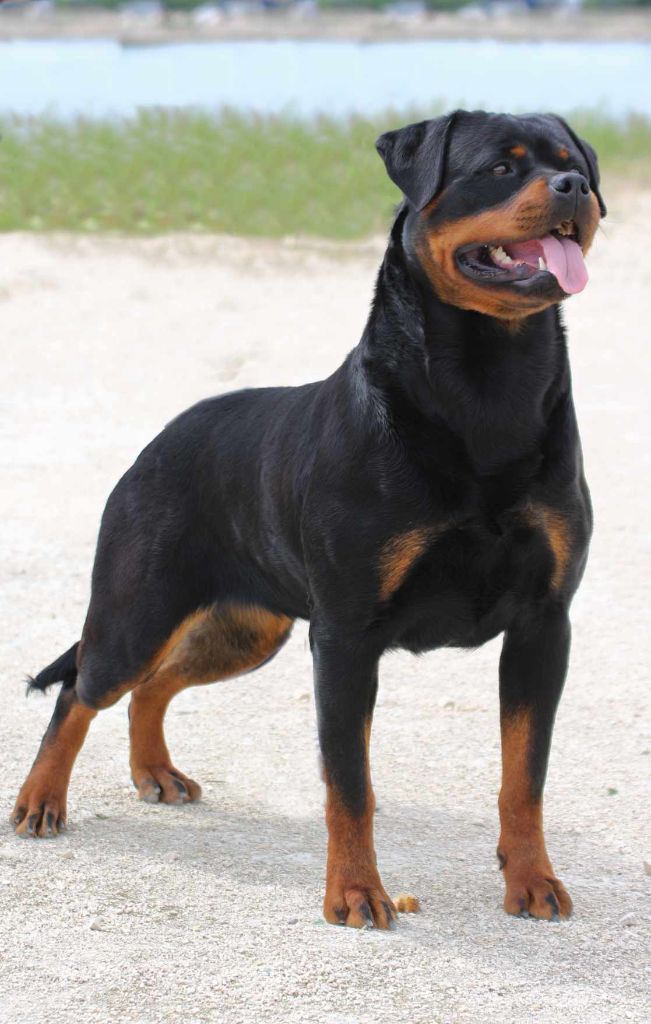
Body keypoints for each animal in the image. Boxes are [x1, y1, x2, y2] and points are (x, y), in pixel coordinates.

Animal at [11, 110, 605, 929]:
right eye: (500, 168)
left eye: (570, 160)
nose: (573, 187)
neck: (489, 383)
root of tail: (160, 440)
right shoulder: (348, 634)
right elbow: (349, 782)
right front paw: (355, 893)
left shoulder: (544, 624)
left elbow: (526, 774)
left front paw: (532, 880)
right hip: (139, 609)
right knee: (86, 687)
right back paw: (40, 801)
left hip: (247, 626)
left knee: (154, 684)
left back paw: (156, 771)